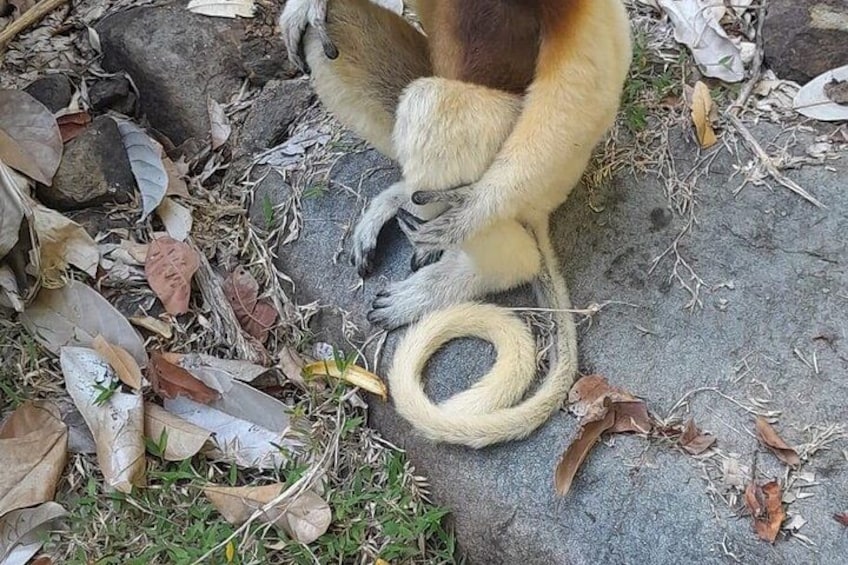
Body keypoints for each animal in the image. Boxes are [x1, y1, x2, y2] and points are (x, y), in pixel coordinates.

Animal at [279, 0, 632, 448]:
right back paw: (400, 201)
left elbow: (586, 78)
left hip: (543, 168)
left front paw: (470, 212)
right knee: (329, 30)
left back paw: (489, 266)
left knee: (434, 104)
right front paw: (304, 6)